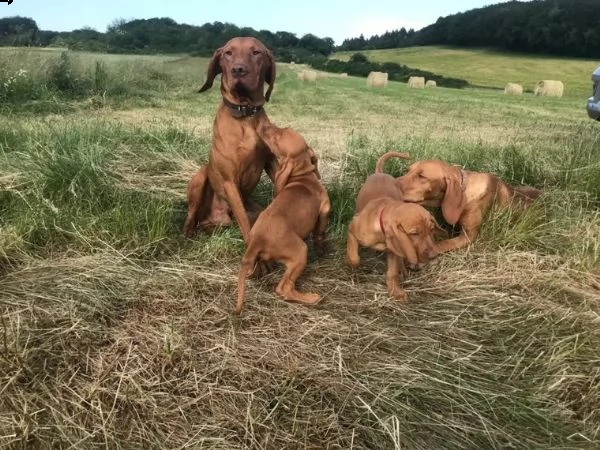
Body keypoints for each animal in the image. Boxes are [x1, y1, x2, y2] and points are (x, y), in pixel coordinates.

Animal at [183, 37, 276, 241]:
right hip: (201, 175)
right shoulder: (230, 181)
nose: (238, 69)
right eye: (228, 53)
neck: (246, 115)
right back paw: (187, 233)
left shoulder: (271, 163)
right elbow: (246, 225)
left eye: (256, 52)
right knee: (191, 216)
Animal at [234, 126, 330, 316]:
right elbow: (320, 231)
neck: (302, 177)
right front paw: (321, 247)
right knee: (284, 288)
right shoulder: (325, 208)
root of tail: (257, 240)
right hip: (300, 251)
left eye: (278, 134)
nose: (262, 127)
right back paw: (310, 298)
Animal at [396, 160, 540, 253]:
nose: (392, 182)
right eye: (407, 171)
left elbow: (442, 243)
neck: (464, 191)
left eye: (422, 176)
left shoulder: (468, 235)